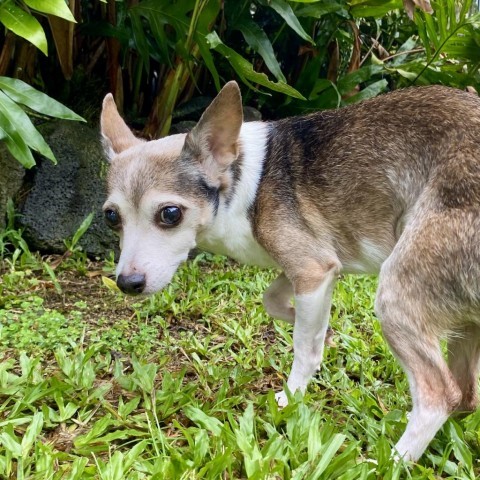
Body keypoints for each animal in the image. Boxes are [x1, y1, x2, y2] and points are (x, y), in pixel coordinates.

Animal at [100, 82, 480, 462]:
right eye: (111, 217)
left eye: (170, 214)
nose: (127, 284)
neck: (239, 180)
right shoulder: (314, 267)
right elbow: (273, 300)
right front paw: (322, 330)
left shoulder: (313, 271)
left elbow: (304, 348)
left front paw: (292, 395)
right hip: (463, 326)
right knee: (465, 396)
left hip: (395, 298)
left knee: (438, 395)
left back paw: (390, 461)